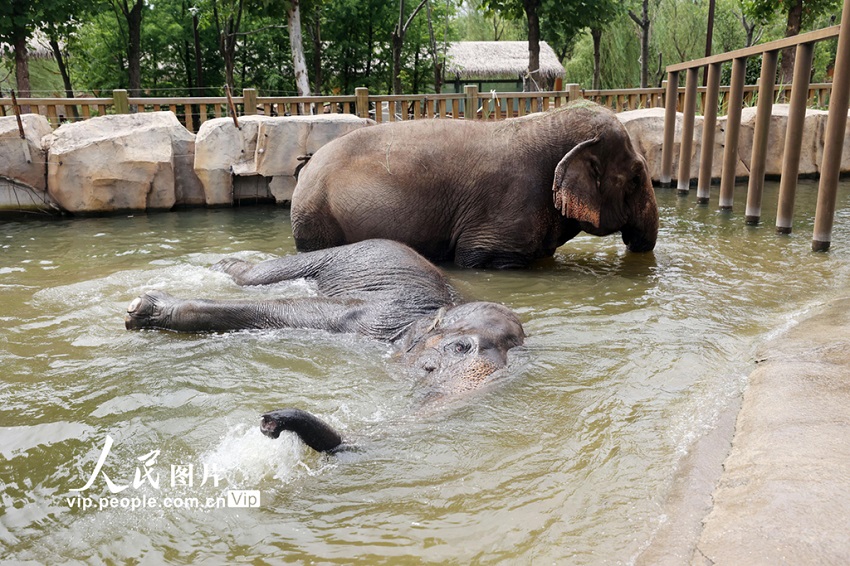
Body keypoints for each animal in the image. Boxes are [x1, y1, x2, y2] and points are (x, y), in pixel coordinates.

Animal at [123, 239, 524, 452]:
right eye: (460, 348)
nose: (270, 422)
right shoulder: (371, 317)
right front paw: (144, 308)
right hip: (331, 254)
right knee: (257, 276)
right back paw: (223, 265)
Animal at [290, 102, 656, 270]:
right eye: (636, 178)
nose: (635, 245)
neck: (545, 119)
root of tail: (307, 165)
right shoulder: (506, 210)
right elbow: (475, 258)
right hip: (316, 218)